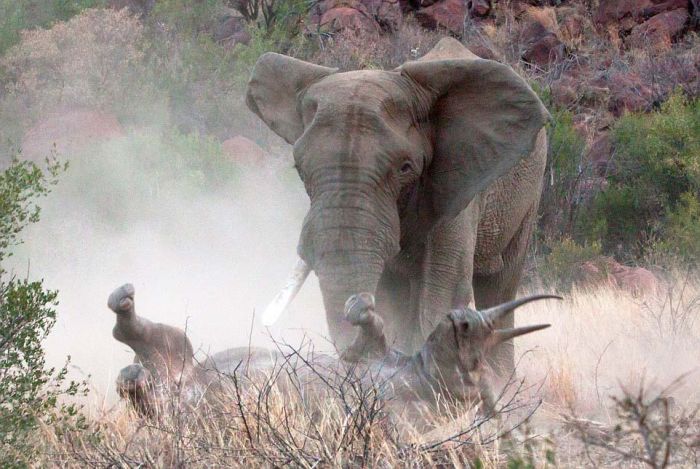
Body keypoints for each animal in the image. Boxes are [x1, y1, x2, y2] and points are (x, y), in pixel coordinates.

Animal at [108, 282, 556, 420]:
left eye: (477, 358)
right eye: (465, 327)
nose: (462, 319)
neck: (425, 374)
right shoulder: (375, 356)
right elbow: (369, 331)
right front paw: (360, 307)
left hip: (178, 400)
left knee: (147, 384)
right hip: (182, 370)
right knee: (158, 350)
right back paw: (123, 305)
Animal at [246, 37, 552, 372]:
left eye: (405, 168)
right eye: (299, 169)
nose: (359, 305)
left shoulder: (458, 183)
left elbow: (441, 292)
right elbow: (392, 297)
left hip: (529, 192)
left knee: (499, 285)